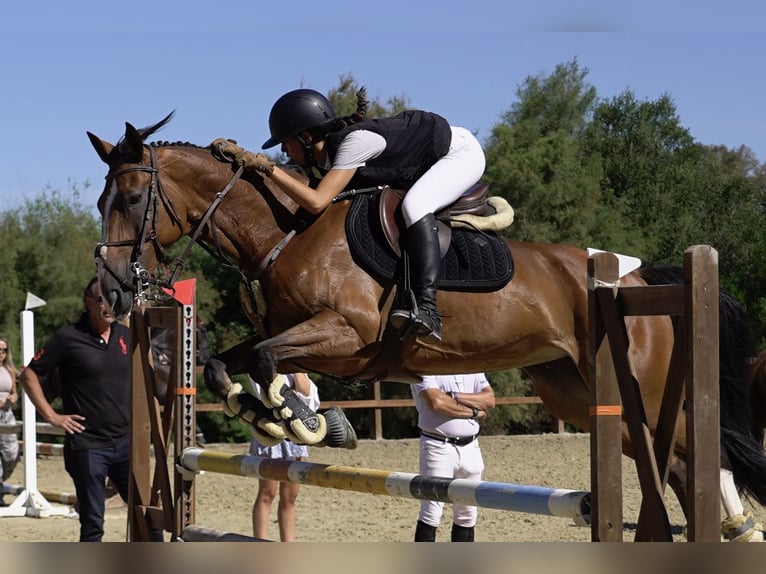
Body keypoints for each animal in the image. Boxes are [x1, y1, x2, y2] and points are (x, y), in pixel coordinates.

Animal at [87, 113, 766, 539]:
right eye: (101, 202)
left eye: (130, 200)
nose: (114, 290)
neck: (285, 233)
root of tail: (635, 279)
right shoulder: (299, 337)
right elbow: (221, 364)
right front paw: (267, 413)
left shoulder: (346, 337)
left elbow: (265, 363)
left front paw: (302, 420)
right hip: (574, 390)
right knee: (678, 465)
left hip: (641, 392)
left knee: (694, 457)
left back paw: (734, 527)